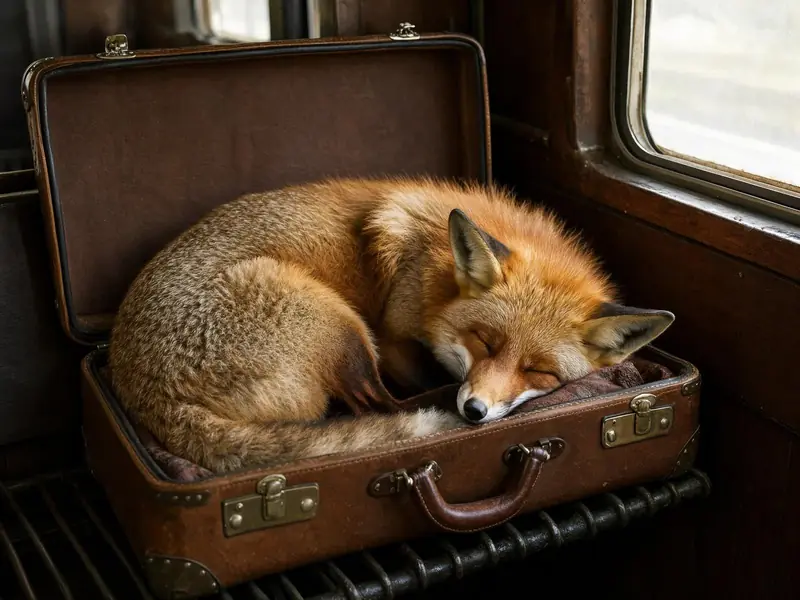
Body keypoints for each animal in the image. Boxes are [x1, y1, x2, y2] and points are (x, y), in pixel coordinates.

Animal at [109, 176, 675, 473]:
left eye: (540, 372)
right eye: (484, 341)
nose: (474, 412)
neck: (432, 267)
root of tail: (144, 392)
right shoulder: (392, 336)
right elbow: (415, 384)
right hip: (341, 324)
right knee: (380, 406)